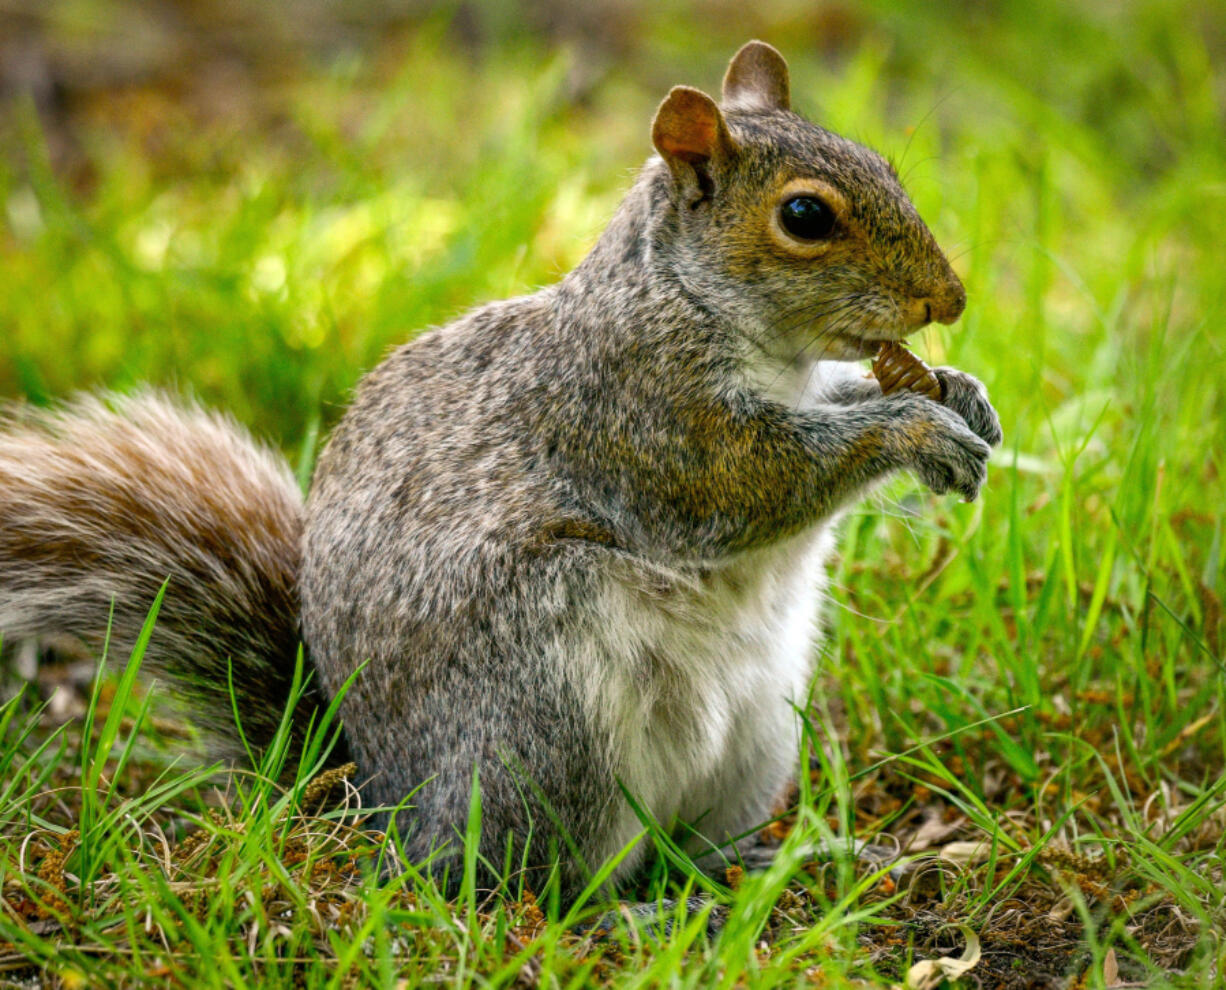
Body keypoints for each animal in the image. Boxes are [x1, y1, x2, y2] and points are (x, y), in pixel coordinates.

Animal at [0, 44, 995, 896]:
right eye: (804, 217)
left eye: (888, 167)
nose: (948, 300)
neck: (692, 305)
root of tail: (381, 805)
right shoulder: (643, 416)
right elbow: (753, 482)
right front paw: (913, 428)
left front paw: (962, 392)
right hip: (550, 726)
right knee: (527, 885)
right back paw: (634, 912)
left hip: (756, 742)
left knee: (687, 849)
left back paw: (774, 865)